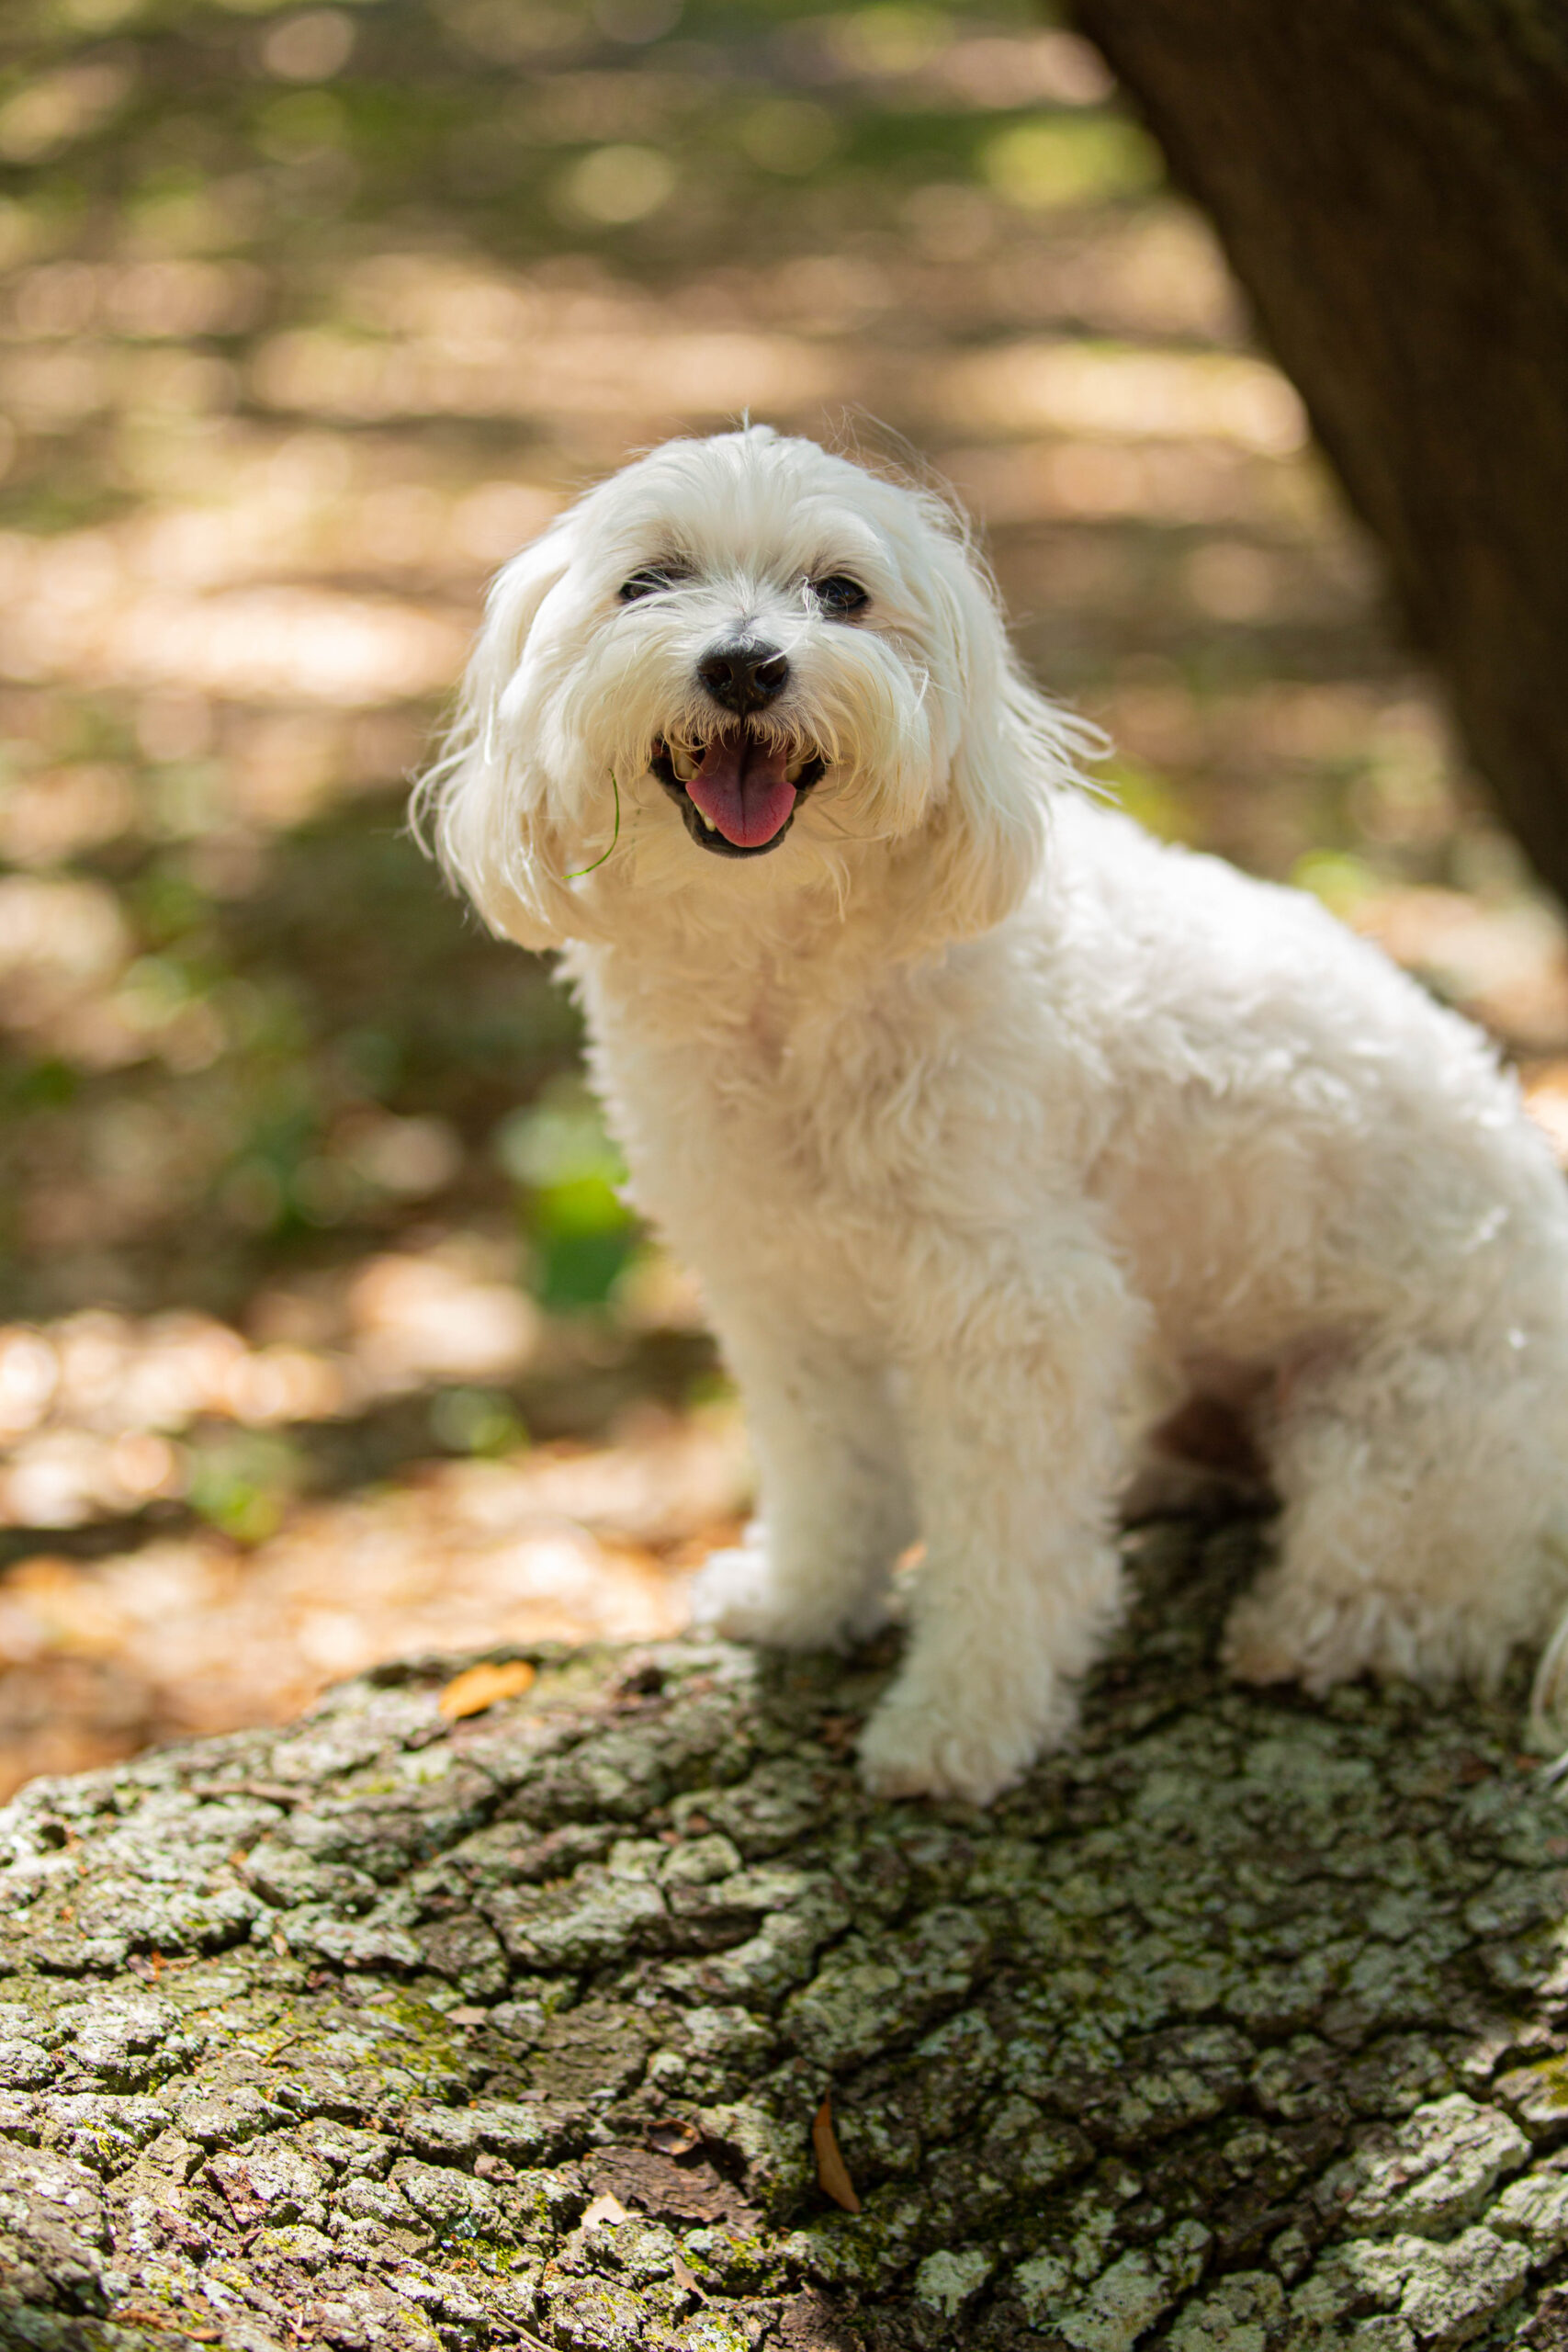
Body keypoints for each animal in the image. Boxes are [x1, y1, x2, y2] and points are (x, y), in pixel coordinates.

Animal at [413, 427, 1568, 1796]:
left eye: (841, 593)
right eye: (646, 583)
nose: (744, 663)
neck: (784, 973)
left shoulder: (1013, 1308)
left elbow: (1004, 1548)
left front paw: (959, 1724)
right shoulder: (777, 1291)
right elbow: (829, 1471)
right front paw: (802, 1601)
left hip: (1398, 1417)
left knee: (1439, 1584)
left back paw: (1310, 1630)